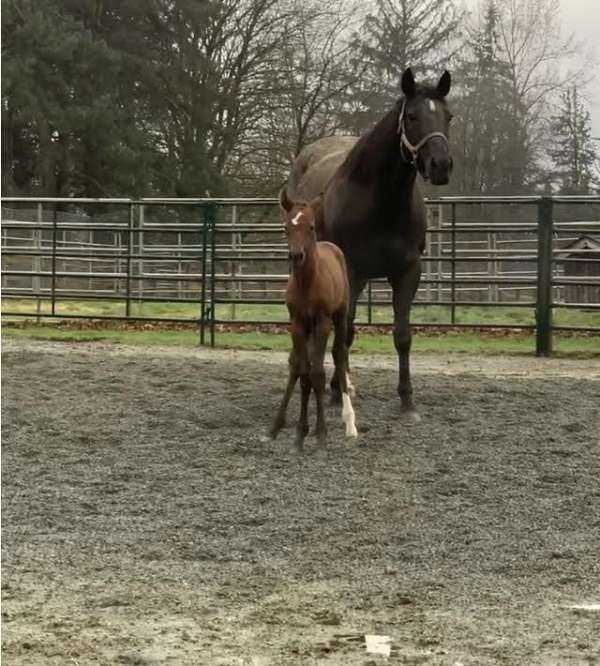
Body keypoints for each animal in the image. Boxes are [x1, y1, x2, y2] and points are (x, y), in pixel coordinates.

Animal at [268, 187, 356, 448]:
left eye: (311, 227)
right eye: (286, 227)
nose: (297, 255)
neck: (307, 283)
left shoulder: (322, 323)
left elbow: (317, 373)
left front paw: (321, 433)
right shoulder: (297, 324)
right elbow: (303, 373)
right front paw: (299, 432)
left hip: (339, 316)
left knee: (339, 356)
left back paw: (350, 422)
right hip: (307, 330)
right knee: (298, 365)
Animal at [288, 67, 452, 420]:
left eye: (449, 116)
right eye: (413, 116)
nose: (441, 165)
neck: (381, 200)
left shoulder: (408, 272)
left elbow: (402, 335)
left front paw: (407, 401)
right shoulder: (352, 269)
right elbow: (346, 332)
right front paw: (337, 395)